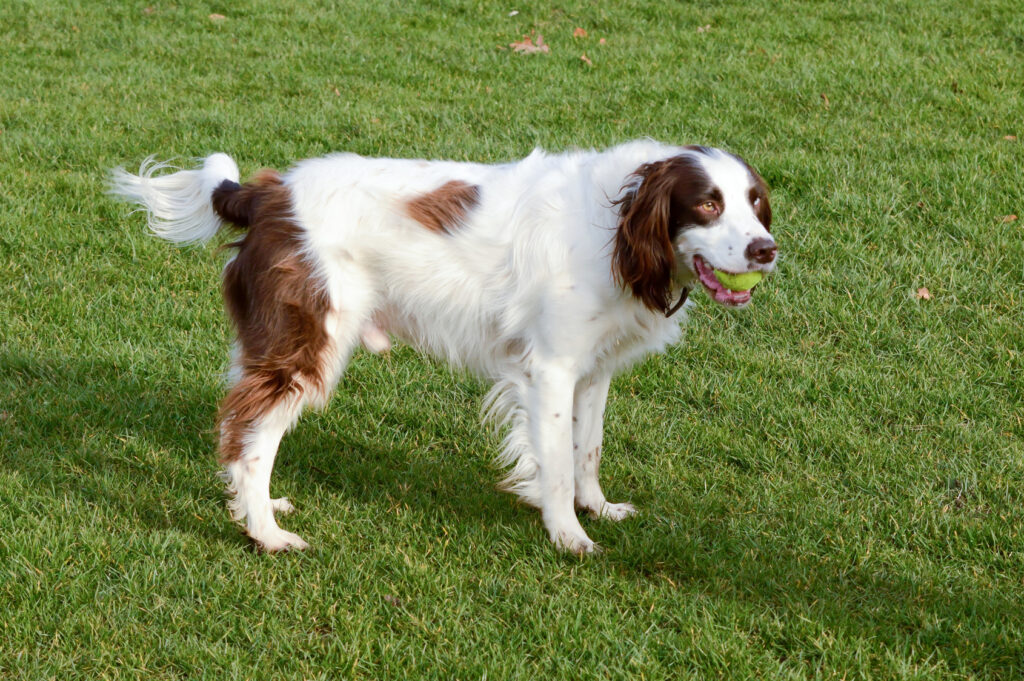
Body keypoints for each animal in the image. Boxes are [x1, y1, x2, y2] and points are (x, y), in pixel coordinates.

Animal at [110, 139, 774, 552]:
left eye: (756, 203)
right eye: (707, 204)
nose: (767, 250)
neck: (617, 222)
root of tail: (265, 193)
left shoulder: (593, 369)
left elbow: (588, 450)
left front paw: (597, 508)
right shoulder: (552, 369)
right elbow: (557, 466)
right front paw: (569, 537)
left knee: (240, 426)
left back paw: (262, 510)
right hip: (308, 345)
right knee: (252, 434)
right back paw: (265, 533)